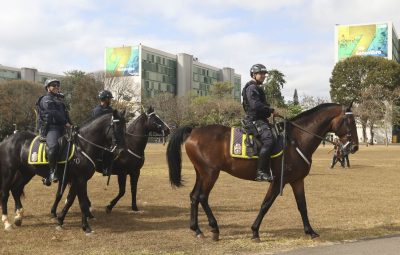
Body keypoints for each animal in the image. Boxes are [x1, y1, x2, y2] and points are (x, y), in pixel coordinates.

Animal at [166, 103, 360, 241]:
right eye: (350, 122)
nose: (355, 147)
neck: (296, 140)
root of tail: (194, 130)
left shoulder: (297, 180)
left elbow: (302, 206)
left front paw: (310, 231)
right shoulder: (278, 181)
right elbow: (265, 205)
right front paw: (254, 232)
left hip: (202, 173)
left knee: (194, 196)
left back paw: (197, 230)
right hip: (210, 174)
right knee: (202, 197)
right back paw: (214, 228)